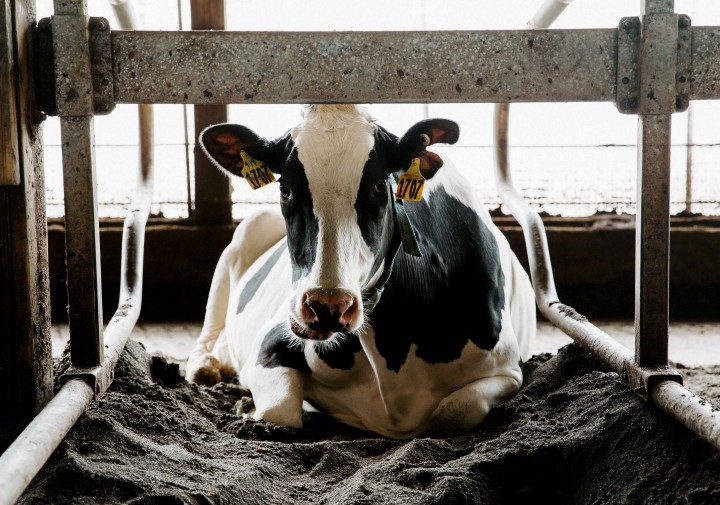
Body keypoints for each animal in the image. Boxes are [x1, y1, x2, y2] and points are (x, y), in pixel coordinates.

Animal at [185, 104, 536, 440]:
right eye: (285, 187)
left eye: (380, 185)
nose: (326, 306)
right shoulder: (271, 340)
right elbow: (280, 412)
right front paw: (247, 407)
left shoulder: (508, 369)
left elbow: (452, 414)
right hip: (245, 234)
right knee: (209, 331)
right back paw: (204, 368)